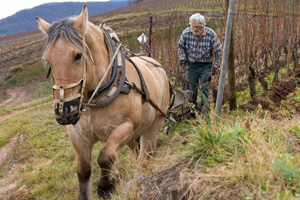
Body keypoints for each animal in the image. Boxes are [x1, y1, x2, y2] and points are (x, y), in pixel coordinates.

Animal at [35, 5, 169, 199]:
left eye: (77, 55)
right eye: (48, 60)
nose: (64, 111)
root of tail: (155, 63)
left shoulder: (125, 127)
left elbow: (105, 157)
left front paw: (105, 187)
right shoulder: (77, 134)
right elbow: (83, 169)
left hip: (153, 127)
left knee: (144, 161)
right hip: (133, 136)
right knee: (137, 154)